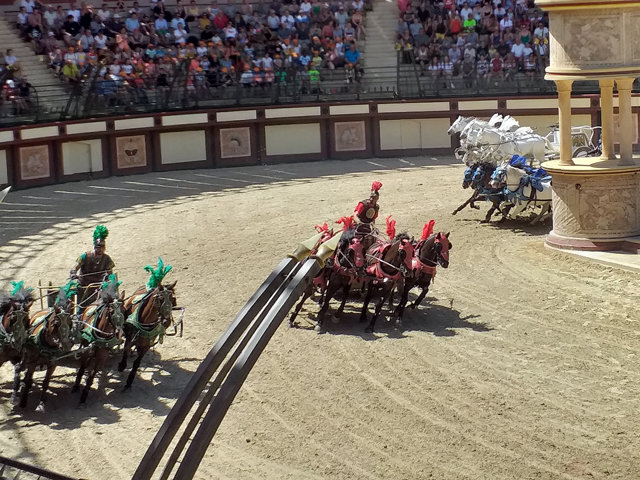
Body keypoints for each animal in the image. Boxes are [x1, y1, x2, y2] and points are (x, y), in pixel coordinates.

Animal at [72, 276, 125, 404]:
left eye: (124, 310)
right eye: (111, 311)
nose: (119, 333)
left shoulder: (102, 355)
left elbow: (92, 374)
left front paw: (84, 395)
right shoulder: (86, 350)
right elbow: (82, 367)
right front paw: (76, 385)